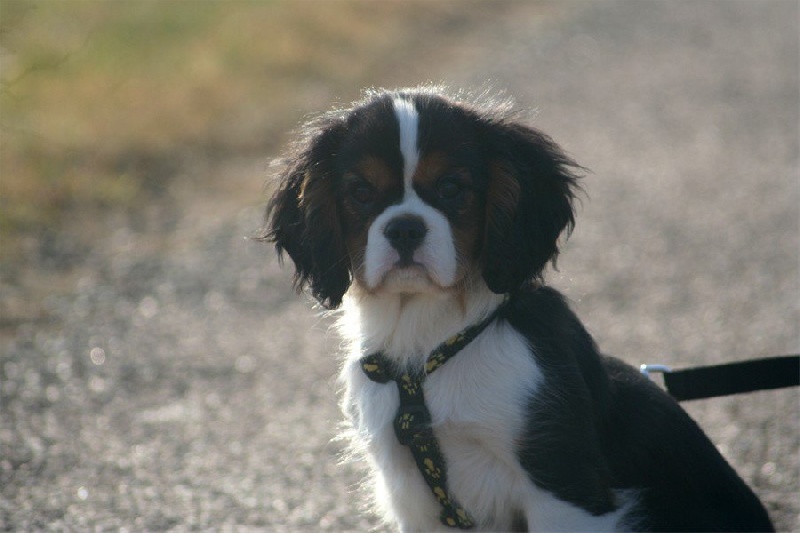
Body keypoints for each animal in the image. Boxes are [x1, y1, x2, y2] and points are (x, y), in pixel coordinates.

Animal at [264, 85, 776, 528]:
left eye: (451, 188)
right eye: (361, 192)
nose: (405, 228)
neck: (428, 346)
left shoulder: (563, 485)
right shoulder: (415, 500)